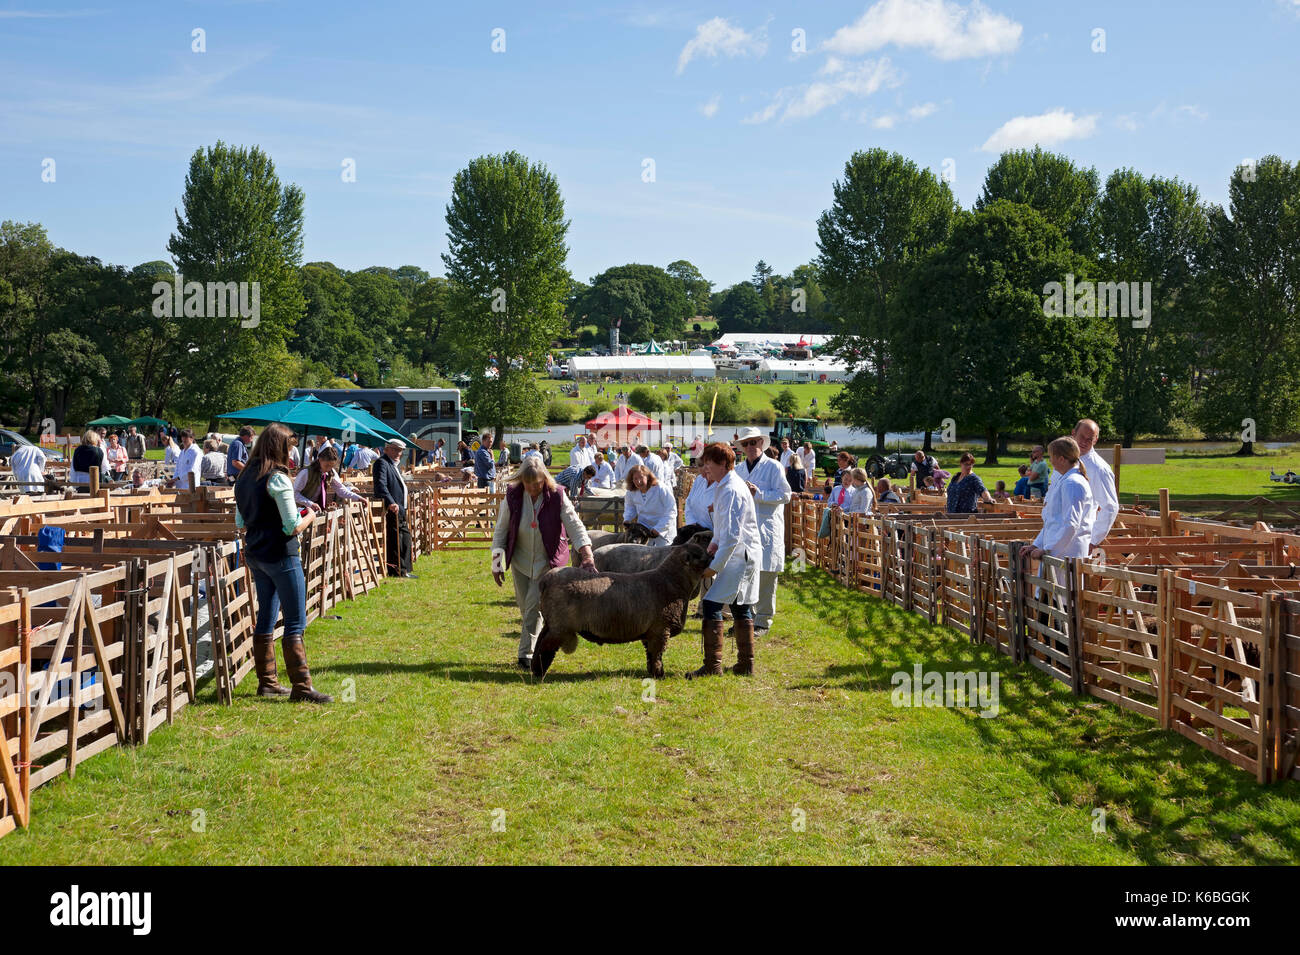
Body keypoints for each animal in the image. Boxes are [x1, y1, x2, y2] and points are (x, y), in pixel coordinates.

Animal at [535, 545, 717, 680]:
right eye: (699, 554)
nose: (713, 556)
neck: (671, 582)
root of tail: (546, 580)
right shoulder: (660, 630)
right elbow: (657, 654)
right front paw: (659, 675)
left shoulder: (650, 633)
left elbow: (650, 655)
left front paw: (652, 672)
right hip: (559, 626)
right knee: (545, 647)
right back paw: (539, 673)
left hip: (551, 623)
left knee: (539, 642)